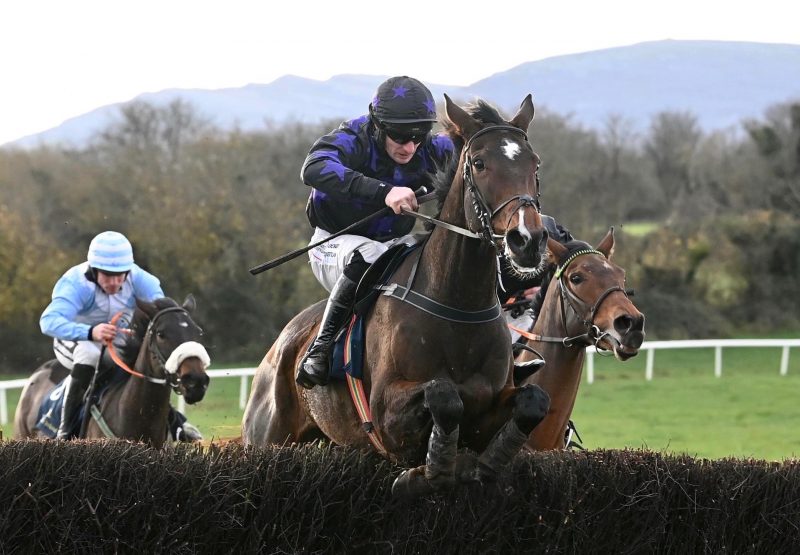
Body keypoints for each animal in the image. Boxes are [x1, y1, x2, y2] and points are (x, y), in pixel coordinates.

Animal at [244, 94, 556, 500]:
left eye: (535, 163)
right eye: (479, 163)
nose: (527, 240)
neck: (458, 305)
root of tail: (278, 345)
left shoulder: (490, 402)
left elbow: (533, 403)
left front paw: (484, 465)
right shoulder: (385, 416)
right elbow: (444, 395)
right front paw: (432, 471)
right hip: (268, 436)